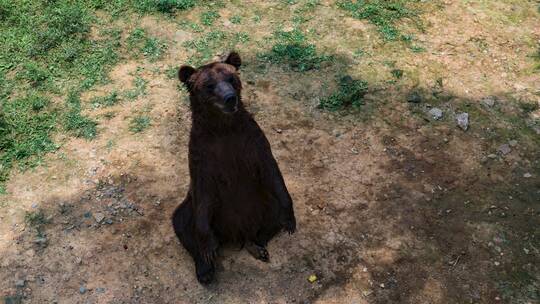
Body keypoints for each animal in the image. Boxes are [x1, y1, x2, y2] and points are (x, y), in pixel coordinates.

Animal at [172, 52, 296, 284]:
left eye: (231, 78)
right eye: (209, 85)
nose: (230, 98)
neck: (223, 128)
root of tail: (236, 234)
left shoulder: (251, 143)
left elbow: (272, 171)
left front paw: (290, 220)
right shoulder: (203, 155)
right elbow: (203, 191)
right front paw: (208, 249)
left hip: (262, 202)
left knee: (271, 215)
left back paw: (257, 246)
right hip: (198, 210)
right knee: (181, 221)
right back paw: (205, 268)